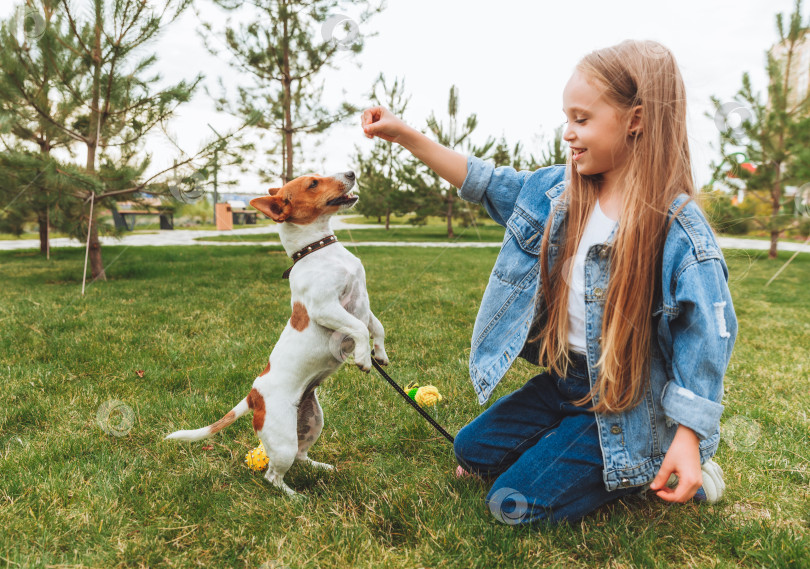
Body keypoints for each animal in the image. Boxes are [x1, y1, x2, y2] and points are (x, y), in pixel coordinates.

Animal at [163, 171, 386, 494]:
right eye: (313, 183)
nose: (351, 173)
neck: (320, 249)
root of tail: (253, 395)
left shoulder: (362, 305)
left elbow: (375, 326)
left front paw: (379, 353)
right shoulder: (325, 308)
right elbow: (357, 328)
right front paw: (363, 358)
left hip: (311, 421)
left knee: (302, 456)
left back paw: (321, 467)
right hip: (282, 442)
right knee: (273, 475)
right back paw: (293, 497)